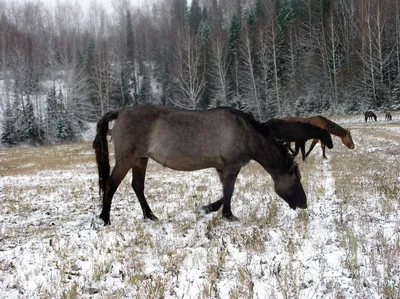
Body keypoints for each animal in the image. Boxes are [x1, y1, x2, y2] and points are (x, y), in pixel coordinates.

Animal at [93, 105, 306, 225]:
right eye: (296, 179)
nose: (304, 203)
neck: (245, 133)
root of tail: (120, 113)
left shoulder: (221, 168)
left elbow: (225, 192)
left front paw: (207, 209)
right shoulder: (231, 166)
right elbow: (230, 191)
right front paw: (228, 216)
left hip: (140, 160)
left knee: (137, 186)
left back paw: (150, 216)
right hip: (126, 159)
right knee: (111, 185)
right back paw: (105, 218)